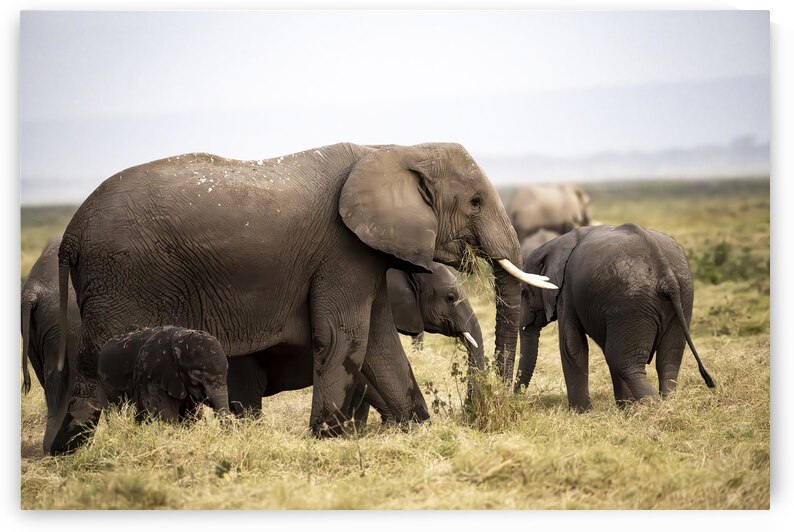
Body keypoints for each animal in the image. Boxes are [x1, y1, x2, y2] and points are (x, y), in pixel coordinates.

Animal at [97, 326, 230, 422]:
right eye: (198, 375)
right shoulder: (154, 376)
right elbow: (168, 417)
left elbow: (189, 417)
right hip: (105, 385)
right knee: (113, 410)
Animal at [516, 223, 715, 411]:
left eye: (524, 293)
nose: (515, 396)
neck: (553, 244)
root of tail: (666, 274)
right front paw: (625, 408)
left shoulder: (566, 292)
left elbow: (572, 346)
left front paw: (581, 413)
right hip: (681, 296)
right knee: (668, 359)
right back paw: (666, 406)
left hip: (632, 301)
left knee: (624, 362)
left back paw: (653, 410)